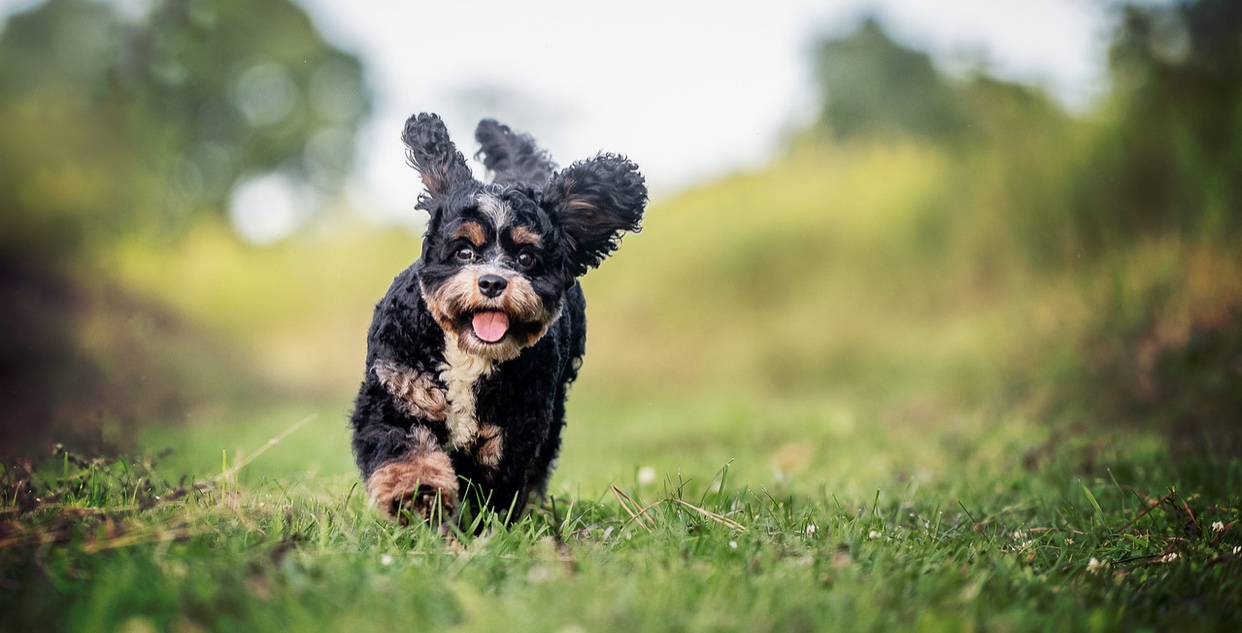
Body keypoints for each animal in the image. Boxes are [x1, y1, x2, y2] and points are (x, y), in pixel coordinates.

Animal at [347, 114, 645, 528]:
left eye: (525, 258)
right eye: (464, 251)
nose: (491, 282)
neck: (468, 356)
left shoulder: (515, 425)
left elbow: (497, 481)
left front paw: (486, 524)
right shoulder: (396, 392)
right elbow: (405, 451)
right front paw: (419, 496)